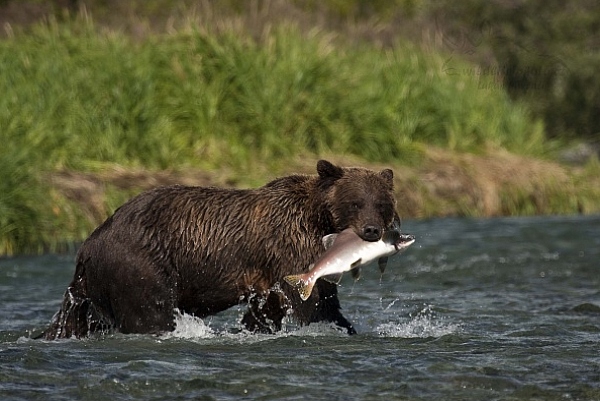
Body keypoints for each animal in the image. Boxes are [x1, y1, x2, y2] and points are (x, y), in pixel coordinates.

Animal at [41, 159, 398, 338]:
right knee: (150, 312)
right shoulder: (291, 247)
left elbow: (277, 307)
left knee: (74, 320)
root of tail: (89, 244)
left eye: (381, 203)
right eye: (355, 201)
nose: (371, 230)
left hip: (93, 290)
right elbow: (312, 304)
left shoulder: (274, 270)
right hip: (139, 263)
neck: (318, 220)